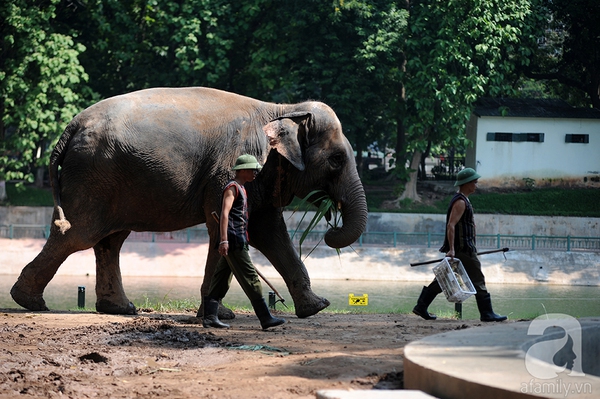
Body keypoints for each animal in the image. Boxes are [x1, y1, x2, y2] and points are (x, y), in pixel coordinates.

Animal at [10, 86, 366, 318]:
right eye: (336, 160)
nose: (330, 227)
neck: (283, 110)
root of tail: (71, 126)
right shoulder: (228, 170)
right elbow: (223, 224)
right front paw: (220, 314)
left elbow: (269, 232)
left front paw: (316, 308)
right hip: (94, 175)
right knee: (79, 234)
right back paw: (30, 302)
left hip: (110, 181)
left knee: (110, 240)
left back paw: (120, 309)